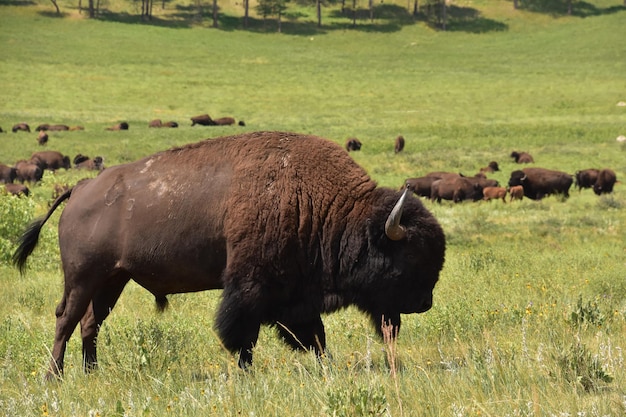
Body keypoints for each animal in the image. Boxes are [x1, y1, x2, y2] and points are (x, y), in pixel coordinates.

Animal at [11, 132, 444, 378]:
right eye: (409, 258)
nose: (424, 303)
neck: (323, 204)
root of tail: (81, 188)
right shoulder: (250, 288)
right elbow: (244, 335)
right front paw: (245, 374)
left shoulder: (293, 297)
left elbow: (314, 337)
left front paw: (326, 369)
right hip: (82, 277)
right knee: (66, 319)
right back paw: (55, 377)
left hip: (112, 280)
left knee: (90, 323)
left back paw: (92, 373)